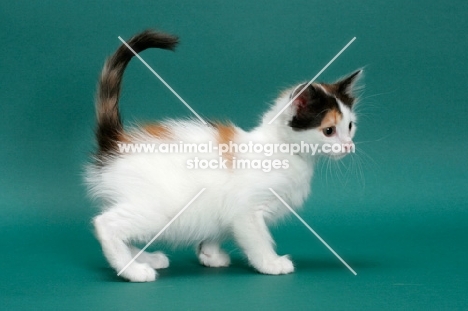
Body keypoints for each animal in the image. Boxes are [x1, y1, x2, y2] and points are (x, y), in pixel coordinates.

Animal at [85, 29, 362, 282]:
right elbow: (258, 239)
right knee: (106, 224)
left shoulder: (224, 205)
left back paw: (146, 258)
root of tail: (116, 142)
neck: (283, 150)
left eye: (350, 126)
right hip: (158, 208)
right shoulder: (246, 209)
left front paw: (210, 254)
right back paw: (133, 270)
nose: (348, 146)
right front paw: (270, 263)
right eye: (329, 131)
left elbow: (218, 227)